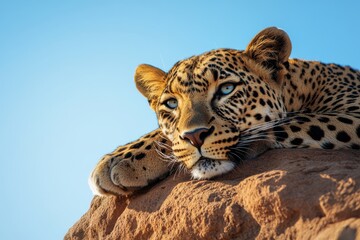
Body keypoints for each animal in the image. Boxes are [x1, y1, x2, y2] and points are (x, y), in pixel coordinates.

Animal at [88, 27, 358, 196]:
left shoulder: (353, 112)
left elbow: (291, 121)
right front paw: (119, 158)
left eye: (226, 89)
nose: (194, 136)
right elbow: (168, 137)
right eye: (172, 104)